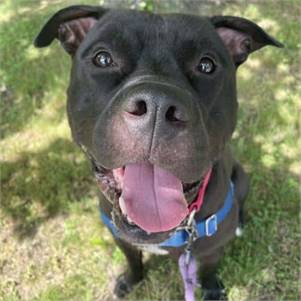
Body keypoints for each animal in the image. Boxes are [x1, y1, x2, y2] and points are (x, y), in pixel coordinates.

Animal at [34, 5, 282, 300]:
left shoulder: (211, 250)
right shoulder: (122, 239)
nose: (157, 106)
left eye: (206, 65)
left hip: (242, 178)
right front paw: (130, 281)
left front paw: (212, 291)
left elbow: (208, 272)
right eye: (103, 59)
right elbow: (133, 260)